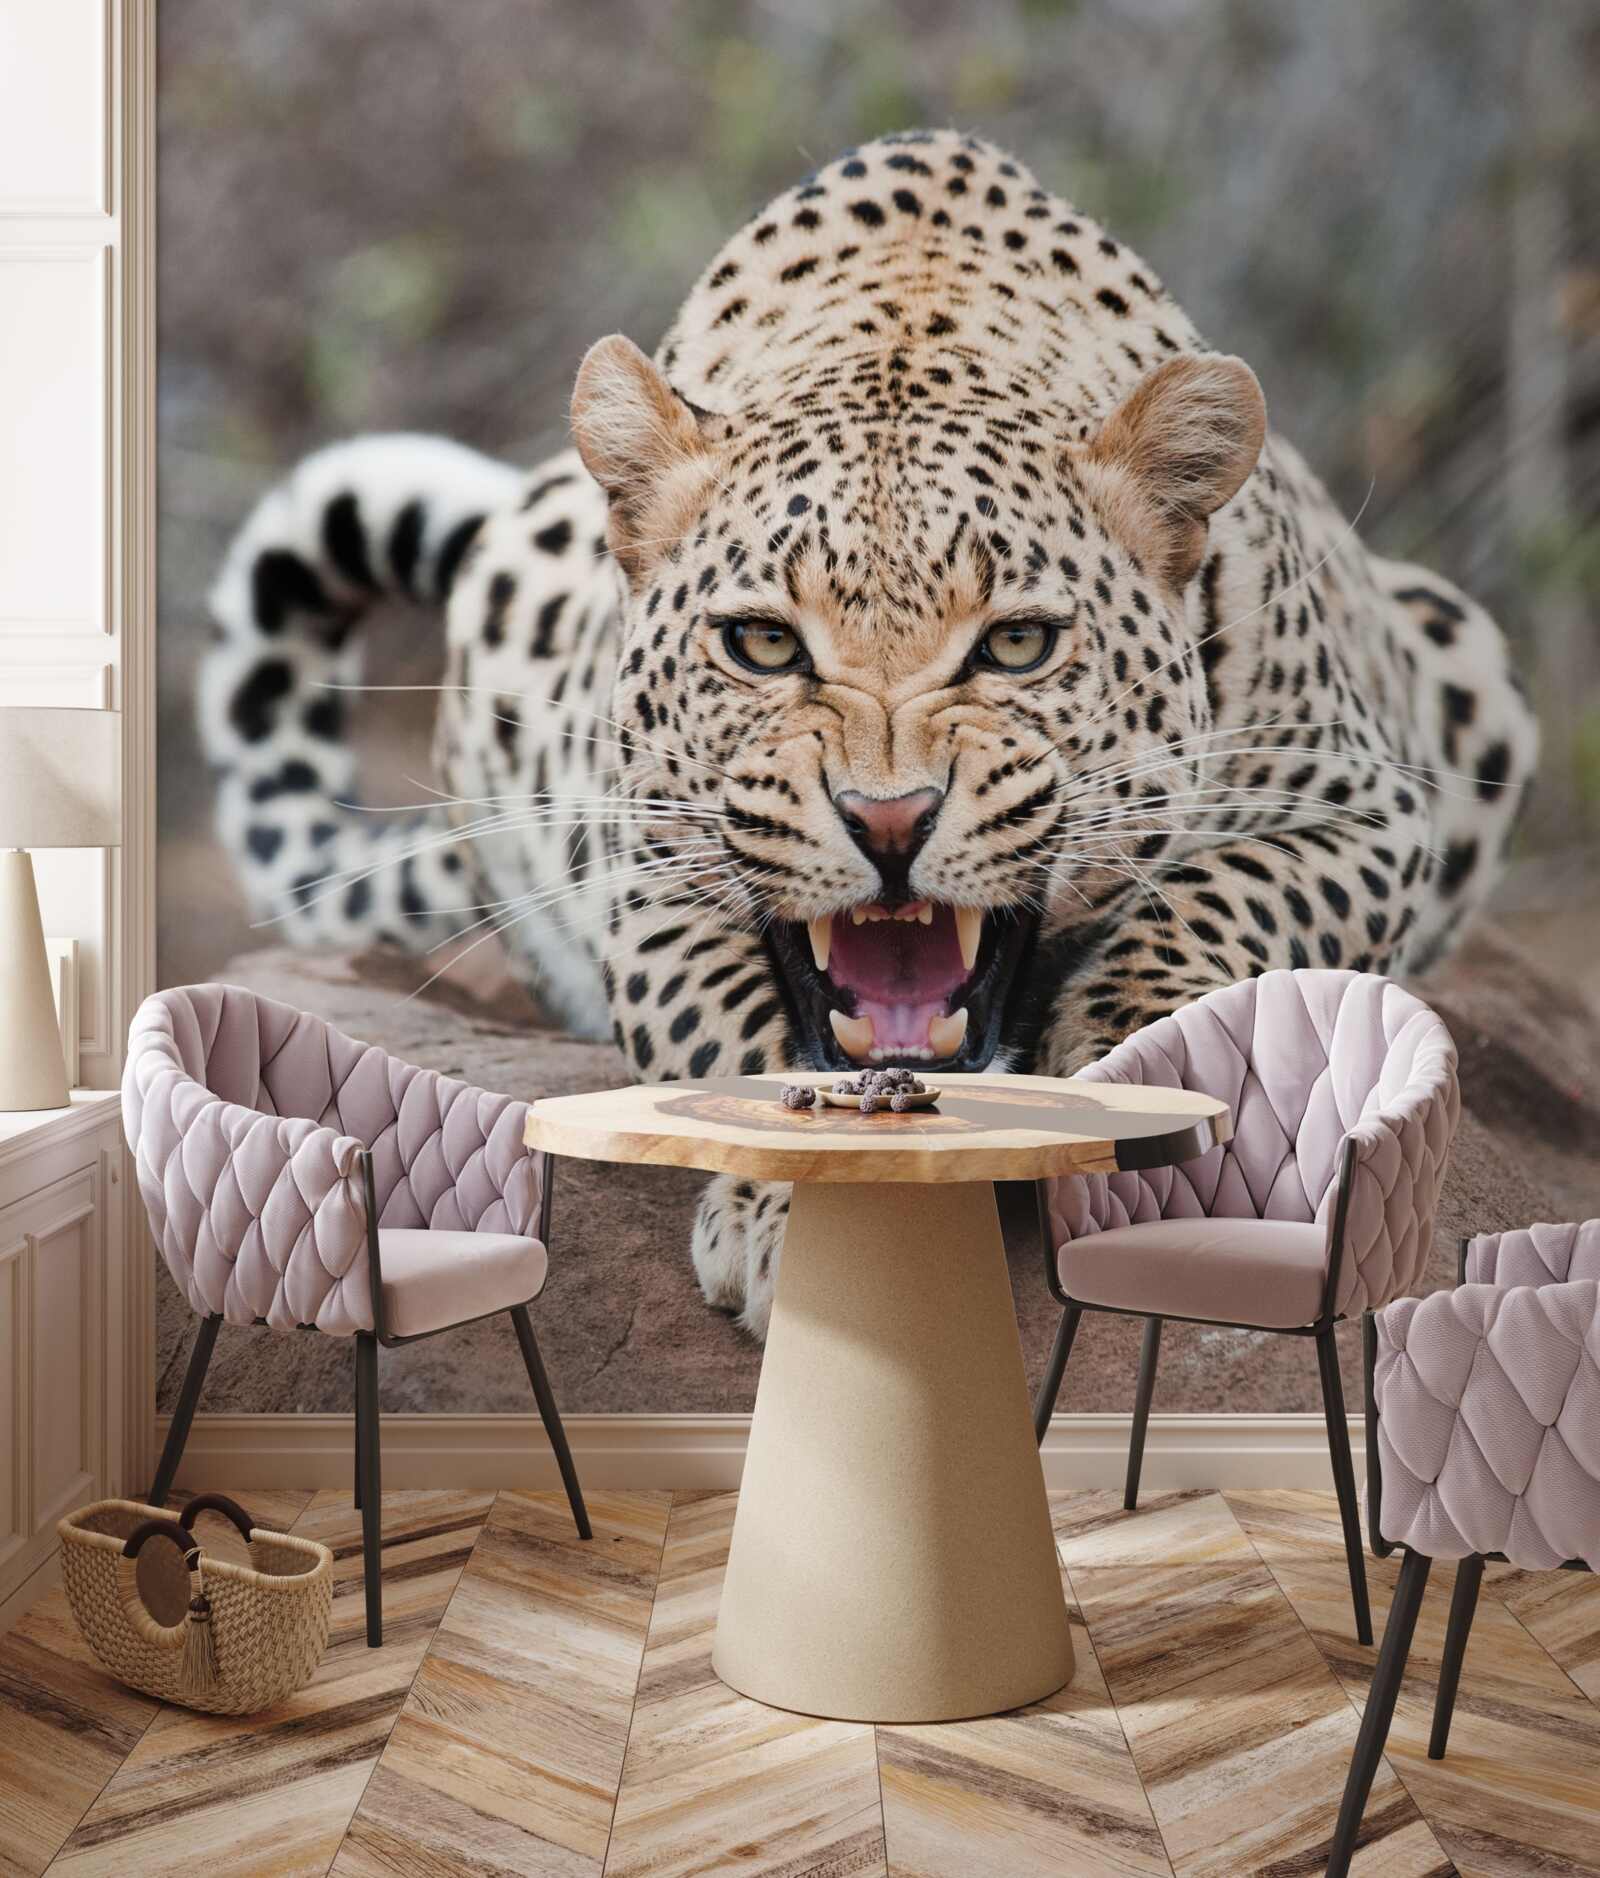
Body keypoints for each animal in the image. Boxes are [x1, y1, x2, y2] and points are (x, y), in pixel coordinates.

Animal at [200, 130, 1537, 1339]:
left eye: (1015, 645)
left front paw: (1131, 1087)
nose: (888, 822)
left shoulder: (1367, 808)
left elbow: (1212, 913)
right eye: (761, 645)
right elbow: (730, 1040)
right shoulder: (647, 870)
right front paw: (799, 1215)